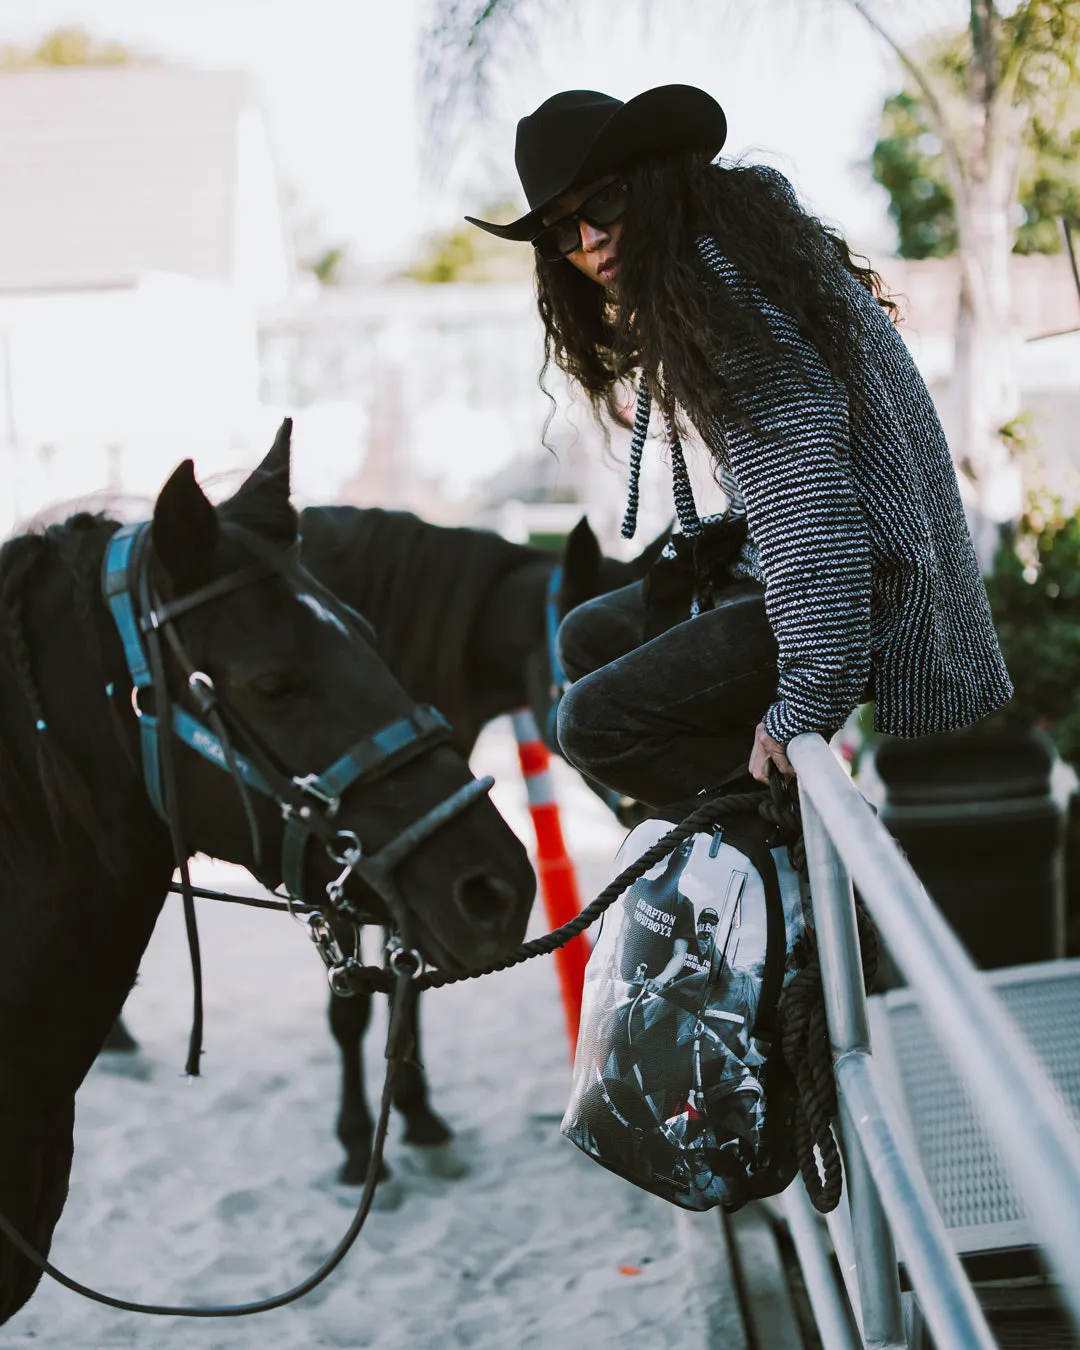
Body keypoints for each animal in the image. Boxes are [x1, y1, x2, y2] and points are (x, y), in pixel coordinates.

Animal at [295, 504, 666, 1182]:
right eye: (590, 667)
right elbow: (351, 1009)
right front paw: (358, 1141)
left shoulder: (420, 870)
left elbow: (408, 987)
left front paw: (418, 1116)